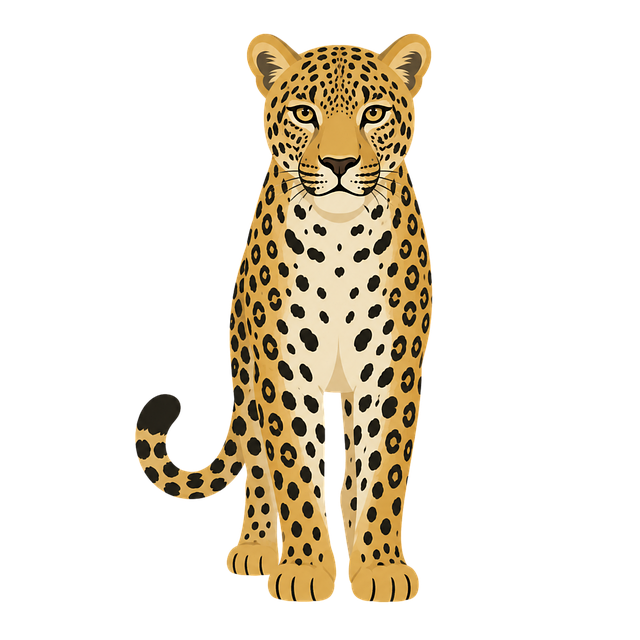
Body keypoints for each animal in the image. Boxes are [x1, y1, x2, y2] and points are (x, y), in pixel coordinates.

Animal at [134, 31, 434, 603]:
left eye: (373, 112)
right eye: (304, 113)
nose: (338, 163)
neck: (341, 240)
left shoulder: (393, 366)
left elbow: (381, 466)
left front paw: (380, 567)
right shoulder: (284, 365)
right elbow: (294, 466)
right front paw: (304, 570)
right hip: (246, 370)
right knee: (255, 458)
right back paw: (255, 544)